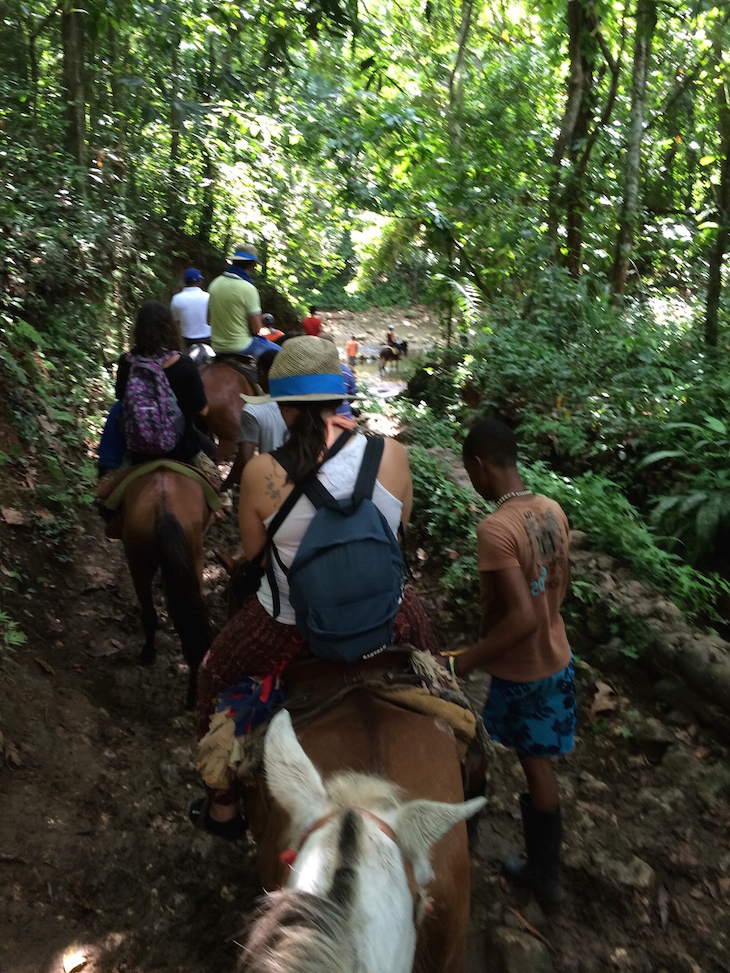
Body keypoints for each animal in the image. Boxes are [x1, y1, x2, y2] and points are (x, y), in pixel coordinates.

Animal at [119, 468, 210, 708]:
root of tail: (164, 508)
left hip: (138, 562)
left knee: (150, 614)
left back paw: (148, 653)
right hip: (193, 559)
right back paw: (192, 697)